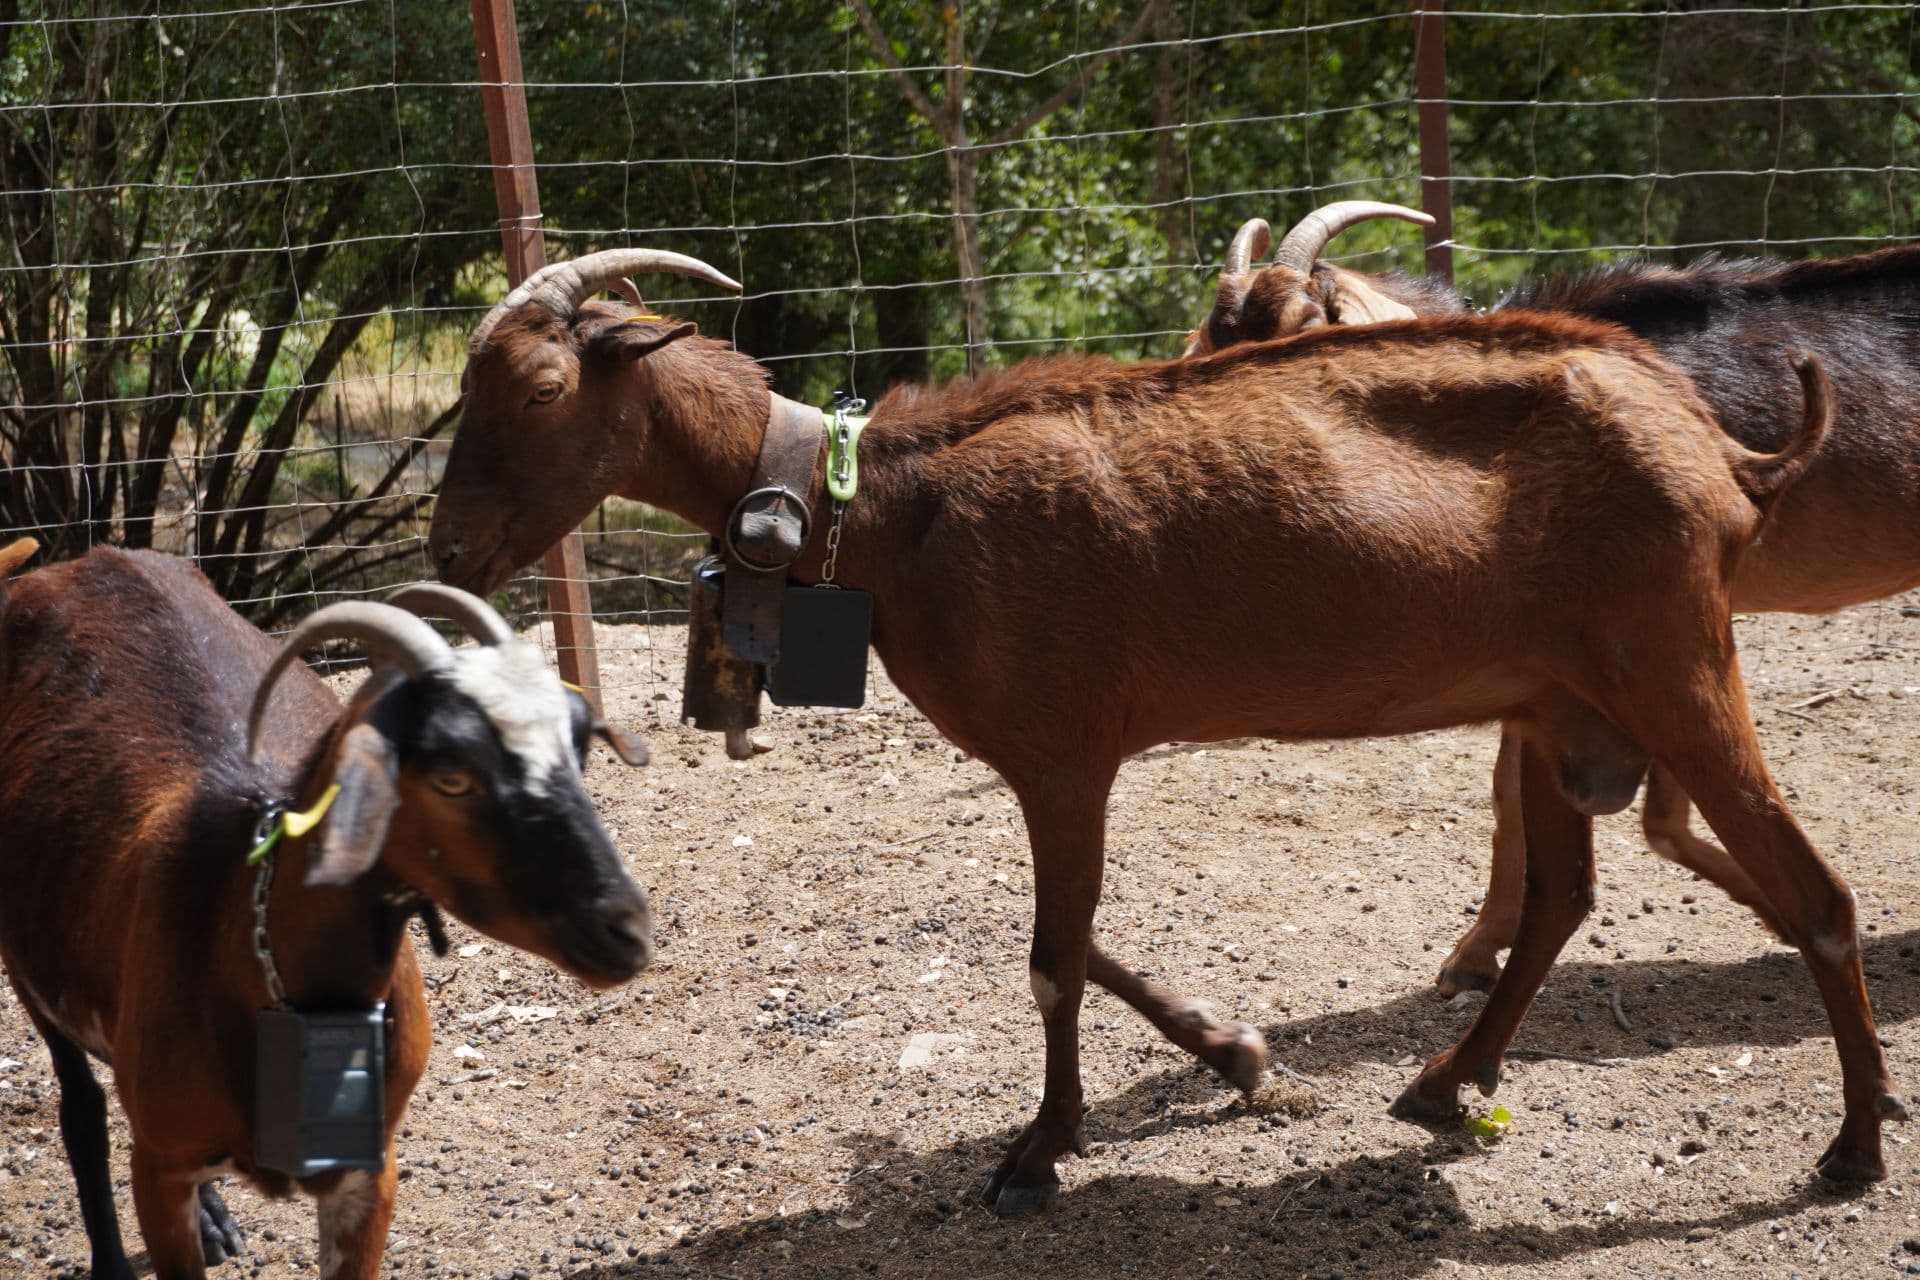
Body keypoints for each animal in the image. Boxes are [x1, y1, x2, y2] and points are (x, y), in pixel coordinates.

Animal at [0, 552, 652, 1280]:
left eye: (580, 748)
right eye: (451, 778)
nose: (626, 930)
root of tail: (86, 559)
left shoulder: (370, 1172)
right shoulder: (159, 1171)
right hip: (27, 967)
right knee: (81, 1109)